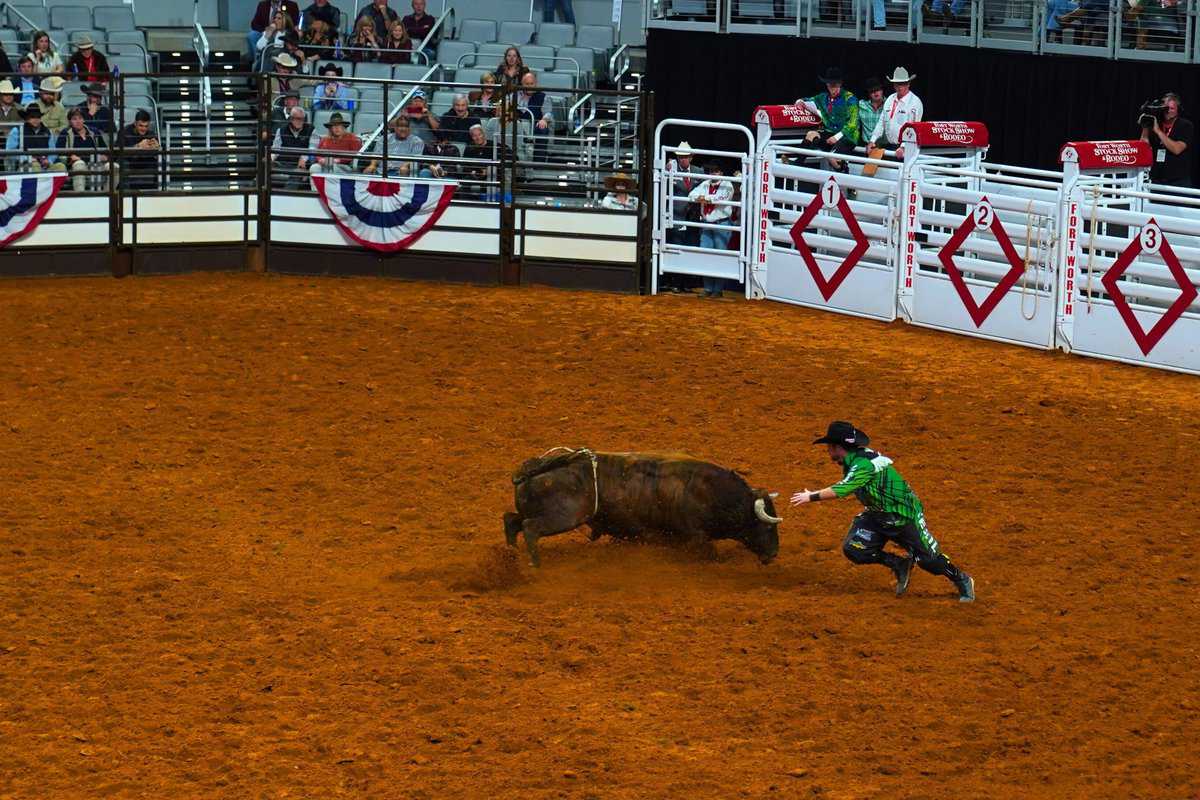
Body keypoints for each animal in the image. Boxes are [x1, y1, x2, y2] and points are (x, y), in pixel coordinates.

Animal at [501, 448, 782, 566]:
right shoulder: (696, 537)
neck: (711, 492)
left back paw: (512, 554)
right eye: (768, 527)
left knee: (511, 520)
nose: (773, 554)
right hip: (564, 517)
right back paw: (535, 563)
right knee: (529, 527)